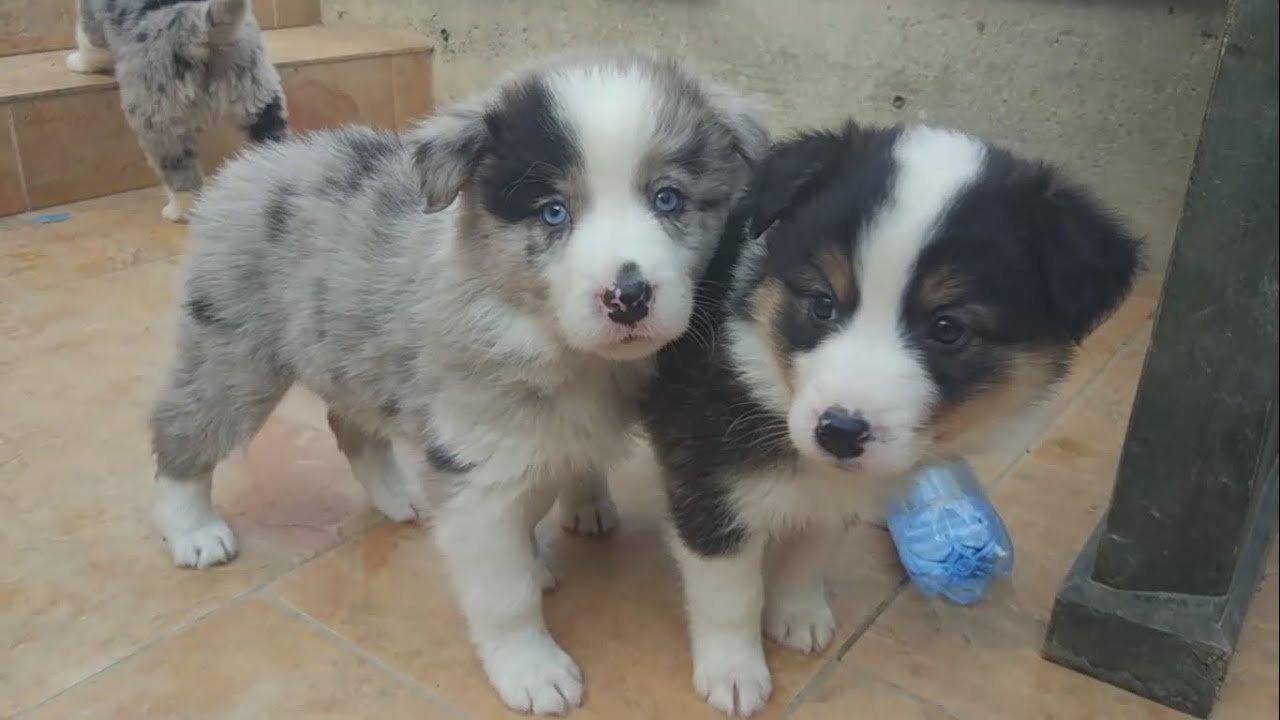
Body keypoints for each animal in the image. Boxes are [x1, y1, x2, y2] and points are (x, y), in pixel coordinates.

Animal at [151, 51, 768, 712]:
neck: (555, 340)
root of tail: (264, 160)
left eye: (668, 199)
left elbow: (550, 485)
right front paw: (533, 670)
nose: (627, 297)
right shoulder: (478, 468)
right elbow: (503, 593)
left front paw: (573, 516)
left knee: (348, 423)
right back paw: (192, 530)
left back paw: (398, 496)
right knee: (181, 430)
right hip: (233, 354)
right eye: (553, 212)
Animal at [640, 121, 1141, 712]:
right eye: (823, 304)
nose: (838, 433)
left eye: (947, 329)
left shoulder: (834, 490)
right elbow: (729, 591)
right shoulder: (707, 480)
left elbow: (810, 550)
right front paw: (734, 675)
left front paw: (797, 614)